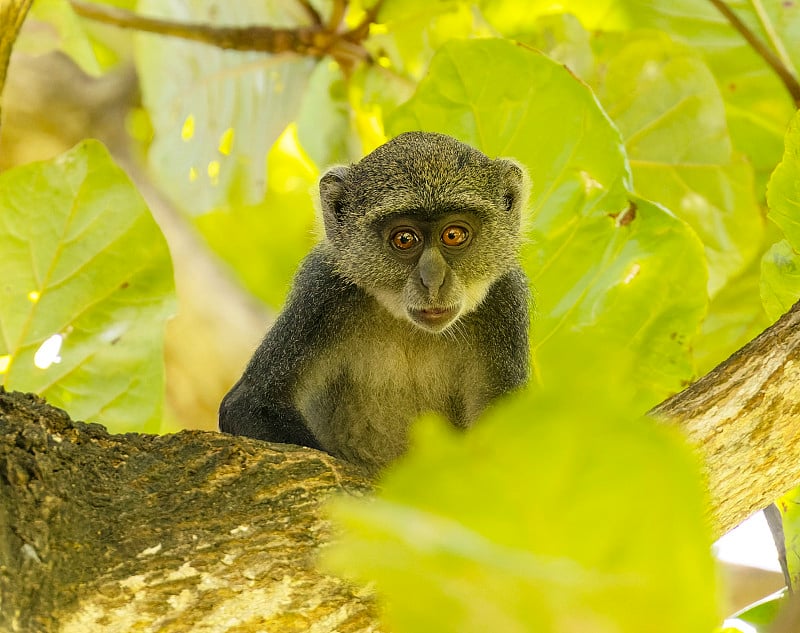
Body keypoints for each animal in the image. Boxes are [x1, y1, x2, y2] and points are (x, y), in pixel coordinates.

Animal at [219, 130, 532, 474]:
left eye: (453, 235)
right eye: (405, 239)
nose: (432, 280)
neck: (412, 330)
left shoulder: (505, 302)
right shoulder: (321, 293)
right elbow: (249, 405)